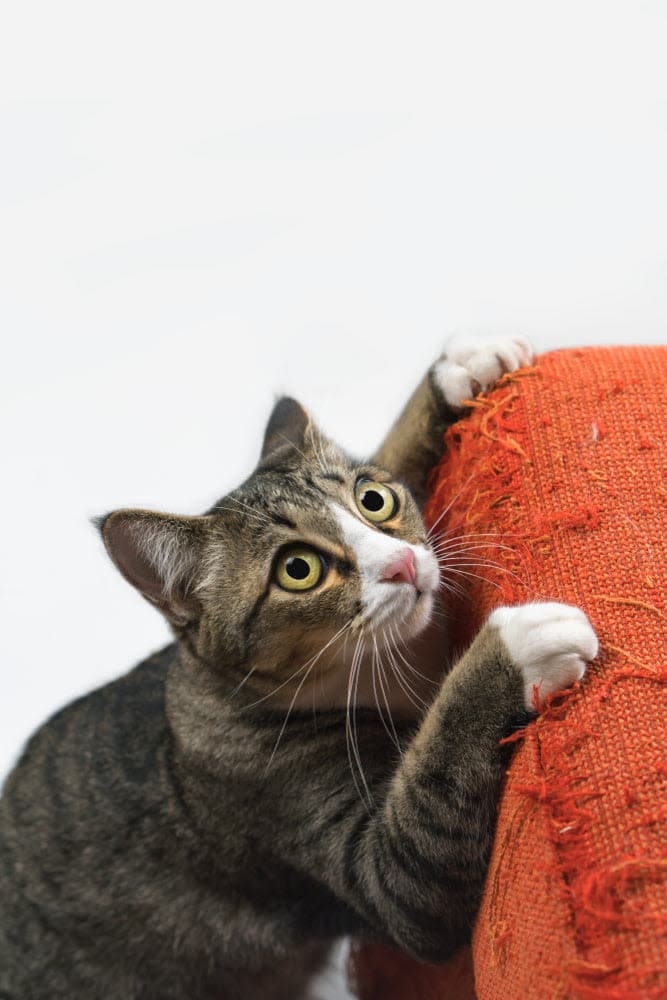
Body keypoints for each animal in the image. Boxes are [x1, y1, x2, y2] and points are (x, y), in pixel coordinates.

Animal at [0, 336, 596, 1000]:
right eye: (298, 570)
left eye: (373, 500)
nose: (402, 565)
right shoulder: (334, 842)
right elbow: (424, 824)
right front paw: (519, 645)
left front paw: (459, 368)